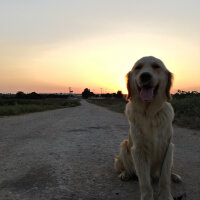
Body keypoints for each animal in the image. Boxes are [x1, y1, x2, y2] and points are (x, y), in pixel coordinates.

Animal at [114, 56, 181, 200]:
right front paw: (147, 196)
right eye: (138, 68)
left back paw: (175, 176)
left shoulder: (168, 147)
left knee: (169, 171)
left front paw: (166, 196)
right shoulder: (138, 150)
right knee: (126, 168)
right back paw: (125, 174)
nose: (145, 76)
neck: (150, 114)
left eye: (156, 66)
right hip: (124, 146)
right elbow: (145, 182)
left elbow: (164, 178)